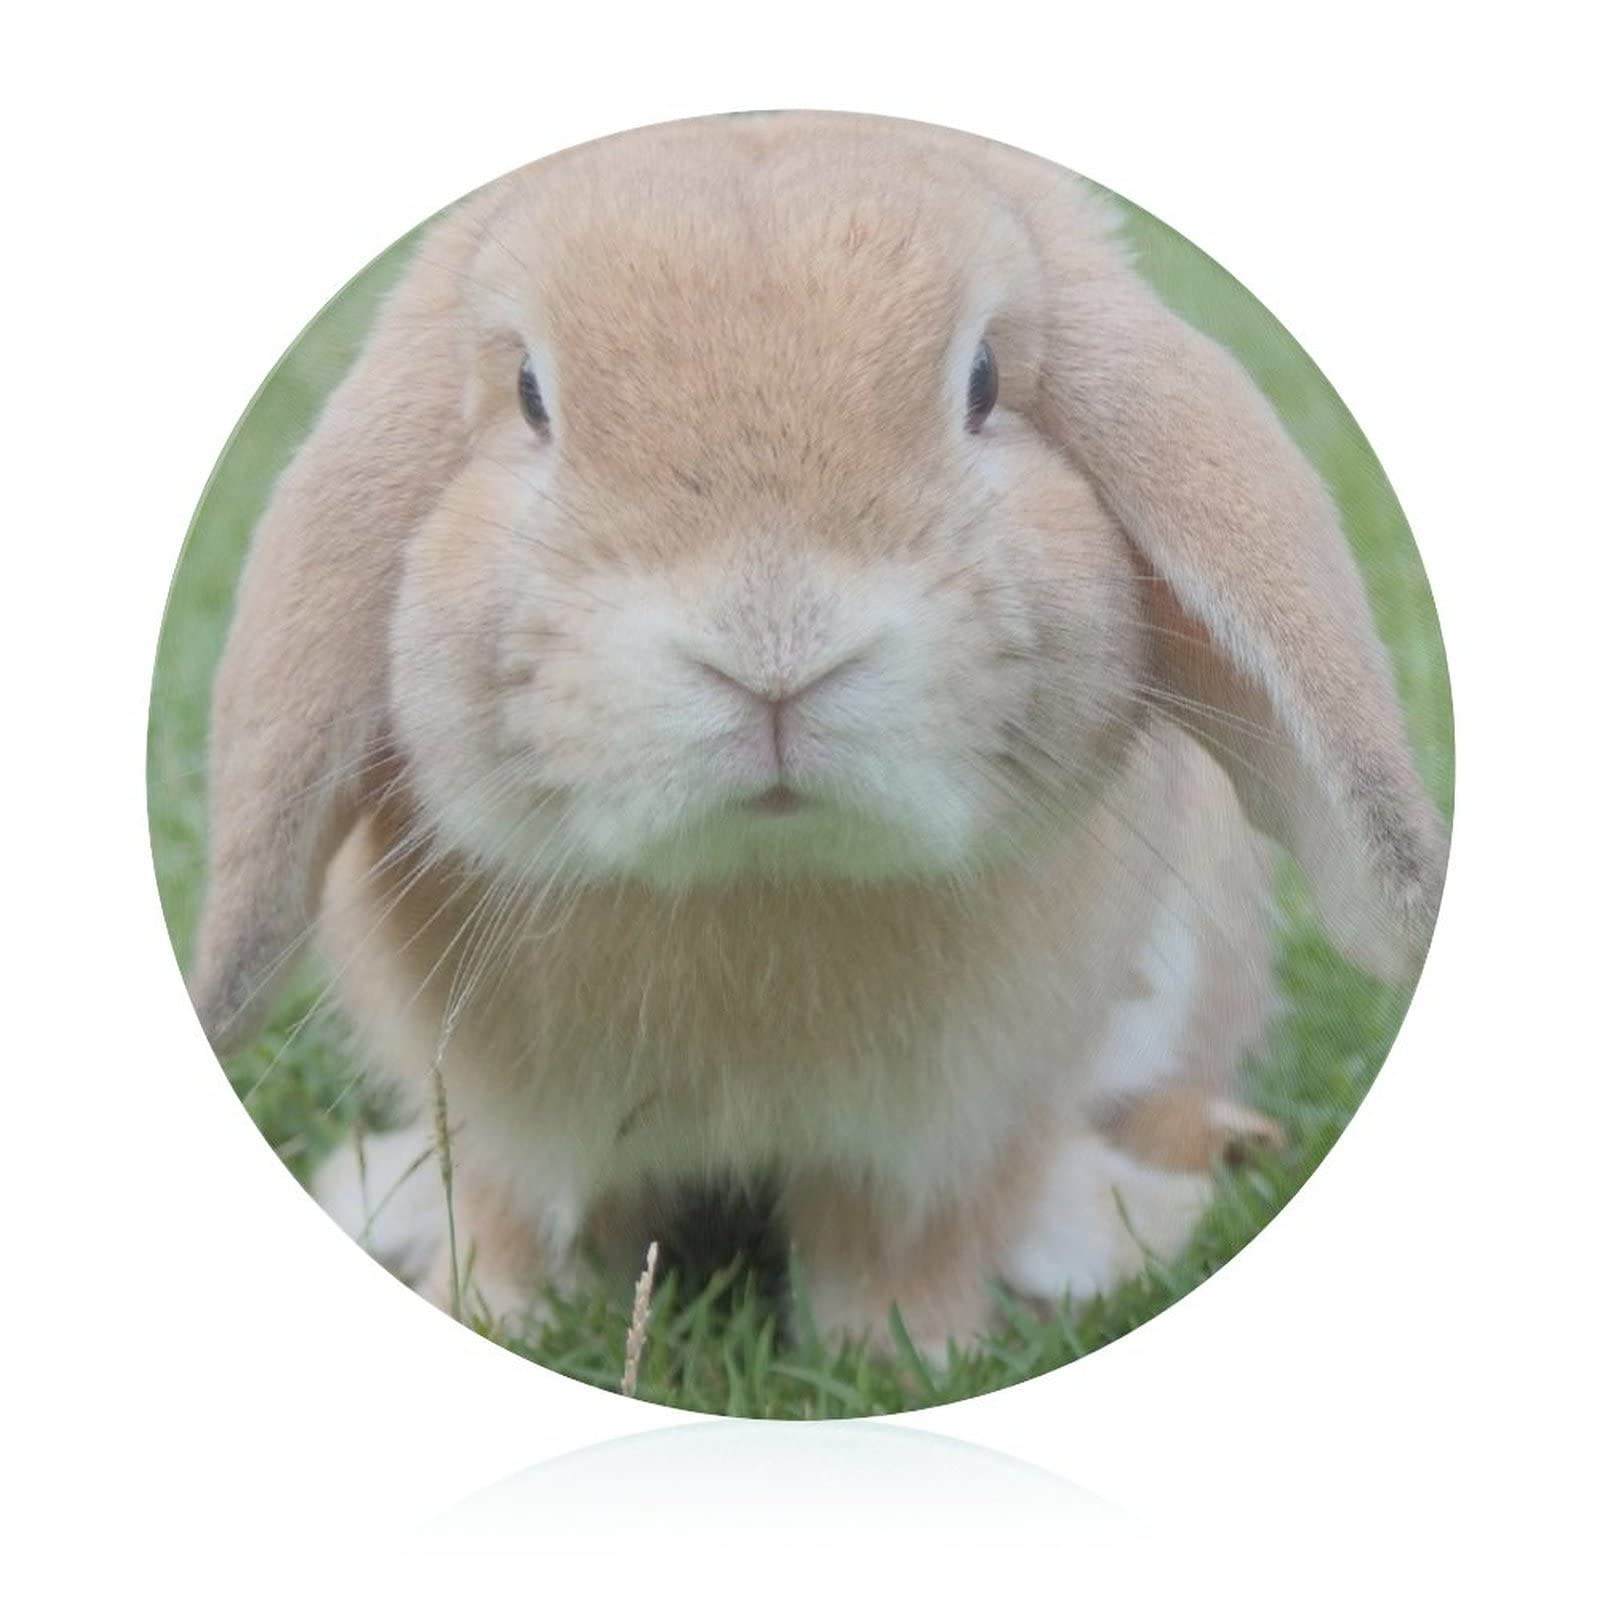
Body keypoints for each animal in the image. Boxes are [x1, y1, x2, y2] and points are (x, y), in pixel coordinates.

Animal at [186, 111, 1446, 1354]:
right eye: (532, 395)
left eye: (984, 380)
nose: (773, 649)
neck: (761, 879)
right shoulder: (503, 1126)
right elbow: (518, 1219)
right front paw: (501, 1316)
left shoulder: (944, 1134)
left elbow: (899, 1244)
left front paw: (905, 1350)